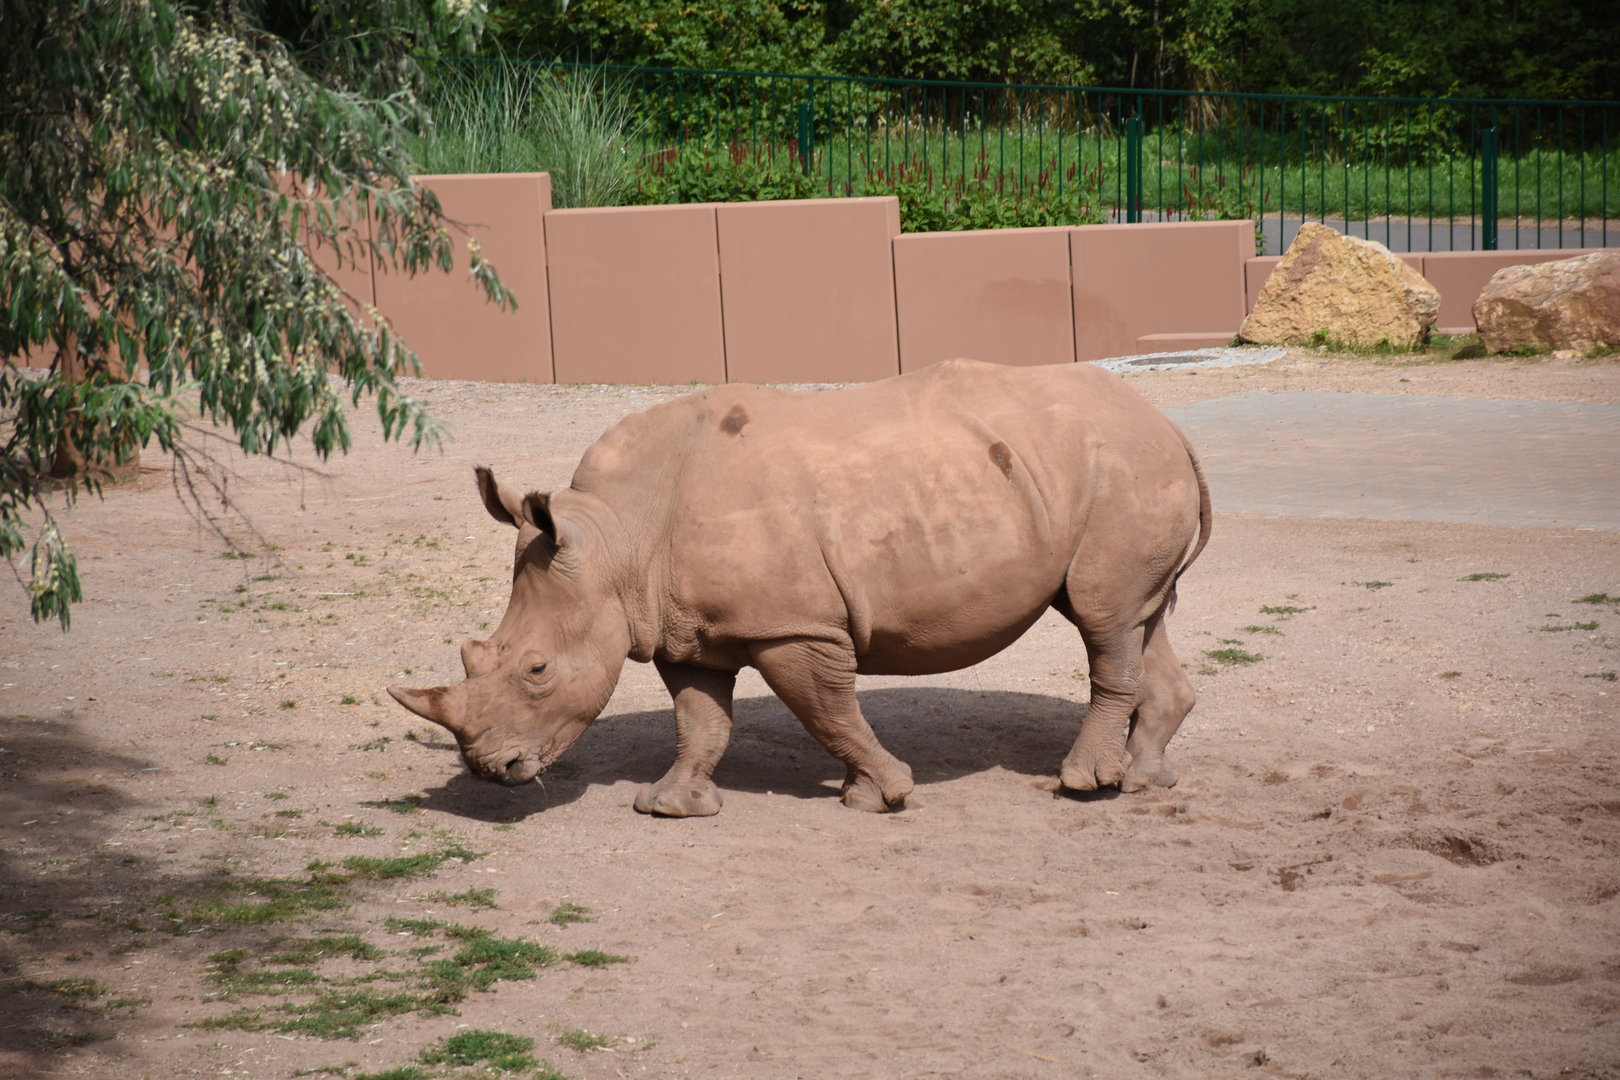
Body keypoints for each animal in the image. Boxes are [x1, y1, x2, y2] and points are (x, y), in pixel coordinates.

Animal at [389, 358, 1210, 816]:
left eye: (536, 670)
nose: (491, 772)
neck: (615, 537)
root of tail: (1169, 425)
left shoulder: (793, 625)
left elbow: (828, 714)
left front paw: (884, 795)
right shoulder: (686, 628)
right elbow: (699, 721)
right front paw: (671, 807)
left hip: (1122, 468)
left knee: (1102, 623)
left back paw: (1083, 785)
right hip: (1103, 470)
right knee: (1137, 618)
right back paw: (1148, 782)